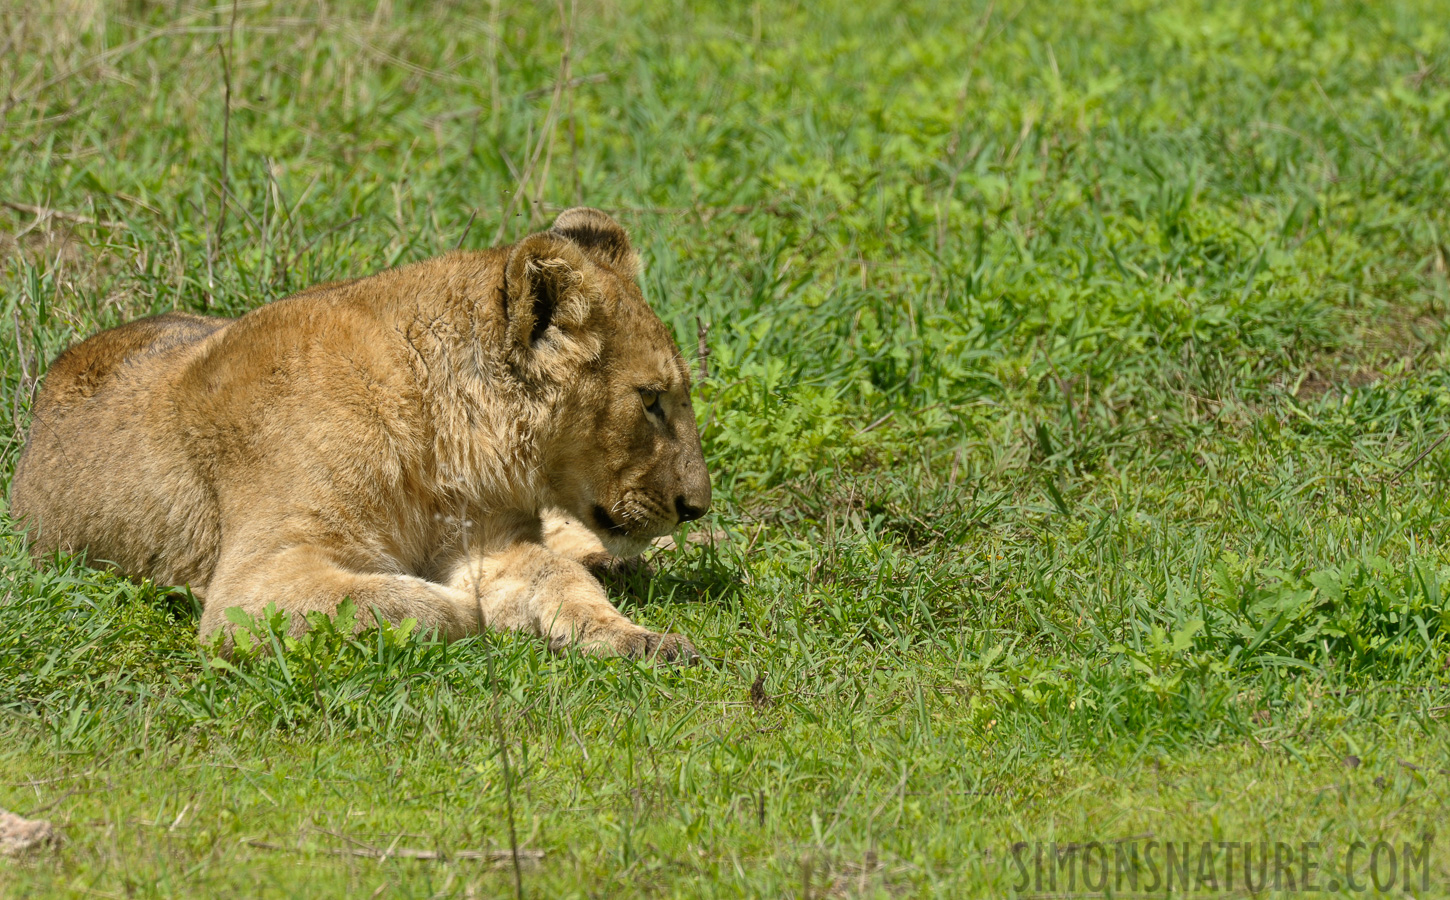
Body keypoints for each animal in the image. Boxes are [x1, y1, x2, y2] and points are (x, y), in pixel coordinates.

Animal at [9, 208, 713, 660]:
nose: (696, 508)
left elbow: (558, 578)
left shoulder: (489, 540)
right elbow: (409, 602)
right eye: (651, 401)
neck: (443, 438)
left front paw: (642, 640)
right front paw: (464, 609)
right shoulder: (251, 585)